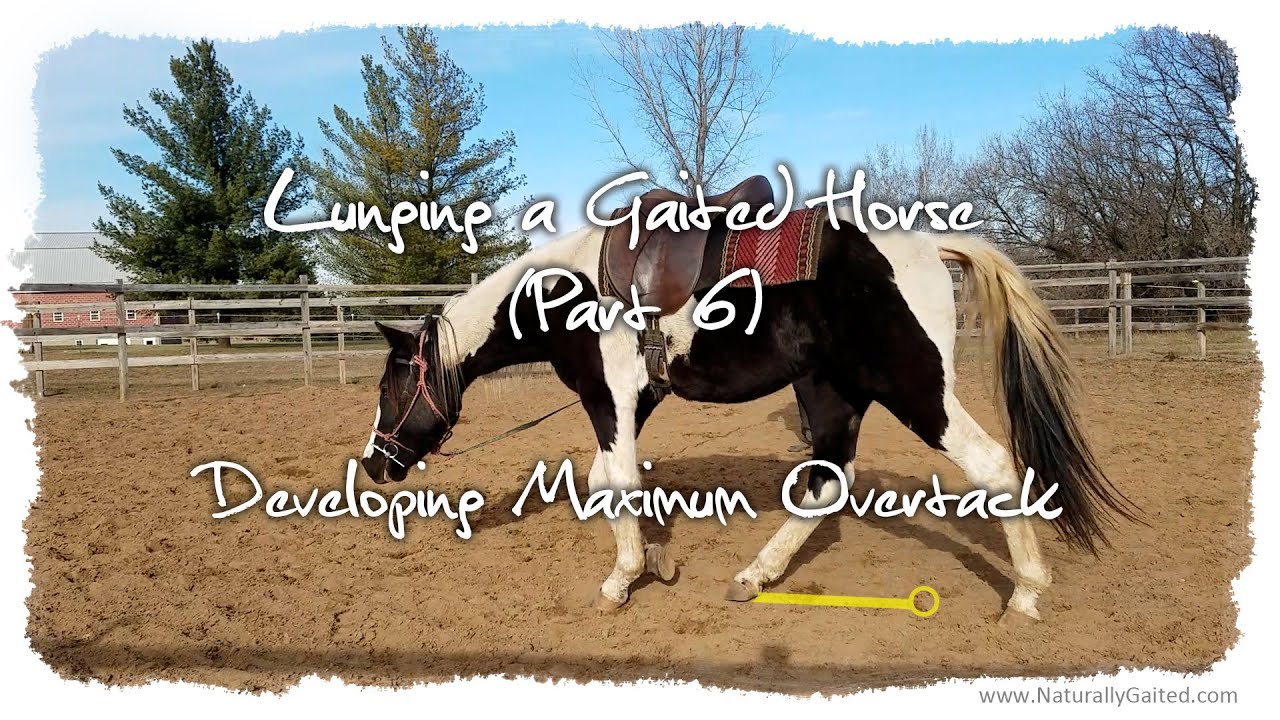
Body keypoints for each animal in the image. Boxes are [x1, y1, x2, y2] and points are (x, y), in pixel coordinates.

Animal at [357, 209, 1135, 624]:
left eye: (391, 386)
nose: (373, 464)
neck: (568, 291)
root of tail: (923, 246)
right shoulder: (632, 403)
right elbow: (617, 482)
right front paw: (656, 560)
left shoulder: (610, 400)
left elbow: (614, 482)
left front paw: (621, 580)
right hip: (832, 391)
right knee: (826, 481)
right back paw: (754, 576)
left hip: (916, 390)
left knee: (995, 466)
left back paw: (1026, 597)